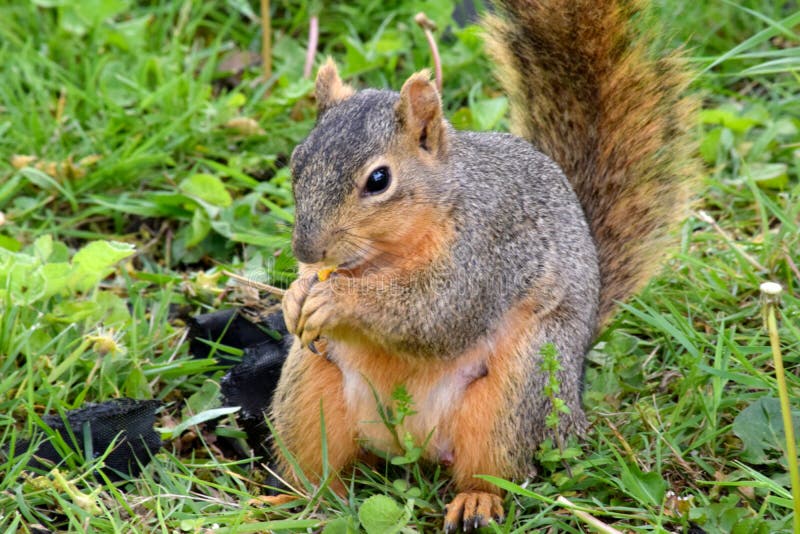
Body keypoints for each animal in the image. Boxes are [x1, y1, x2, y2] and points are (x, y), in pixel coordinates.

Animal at [269, 0, 698, 531]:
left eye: (379, 180)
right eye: (296, 162)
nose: (308, 250)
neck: (385, 255)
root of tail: (410, 447)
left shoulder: (487, 250)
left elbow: (436, 313)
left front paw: (335, 298)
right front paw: (296, 296)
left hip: (518, 392)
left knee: (493, 472)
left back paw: (475, 502)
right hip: (308, 393)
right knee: (317, 472)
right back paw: (288, 501)